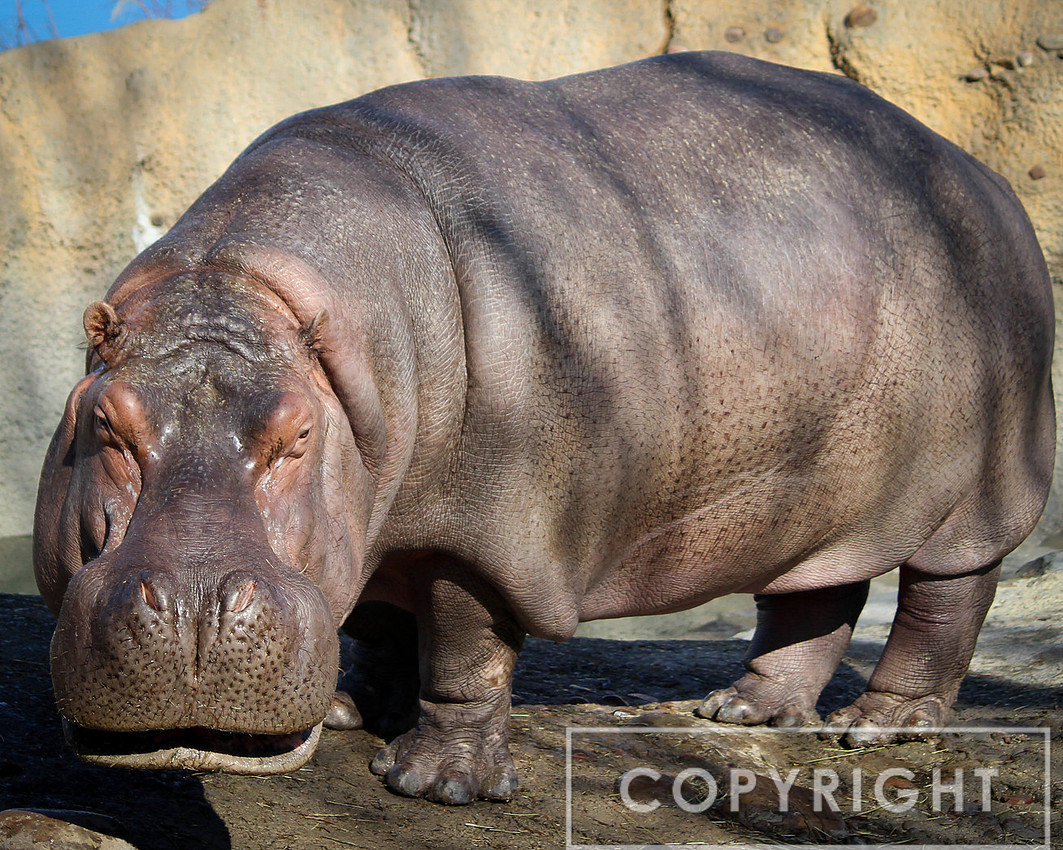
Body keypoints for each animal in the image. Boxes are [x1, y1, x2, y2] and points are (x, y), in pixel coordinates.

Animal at [34, 51, 1054, 805]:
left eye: (294, 436)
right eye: (105, 424)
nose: (193, 612)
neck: (244, 286)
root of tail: (987, 179)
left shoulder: (481, 531)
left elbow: (463, 648)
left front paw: (432, 784)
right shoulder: (378, 506)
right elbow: (377, 614)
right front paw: (353, 710)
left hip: (977, 488)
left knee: (943, 599)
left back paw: (877, 730)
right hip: (813, 488)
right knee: (814, 596)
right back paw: (737, 714)